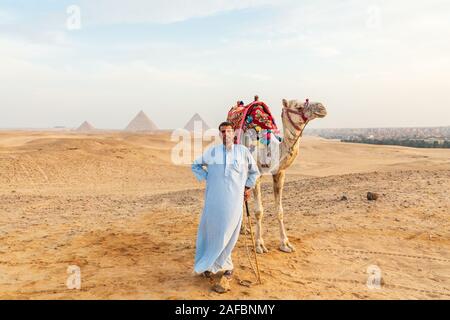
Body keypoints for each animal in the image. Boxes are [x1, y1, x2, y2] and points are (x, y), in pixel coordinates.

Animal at [243, 99, 326, 254]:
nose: (322, 107)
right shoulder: (256, 175)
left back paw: (243, 230)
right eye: (298, 107)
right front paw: (259, 245)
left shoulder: (279, 173)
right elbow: (259, 211)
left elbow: (280, 210)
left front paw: (285, 244)